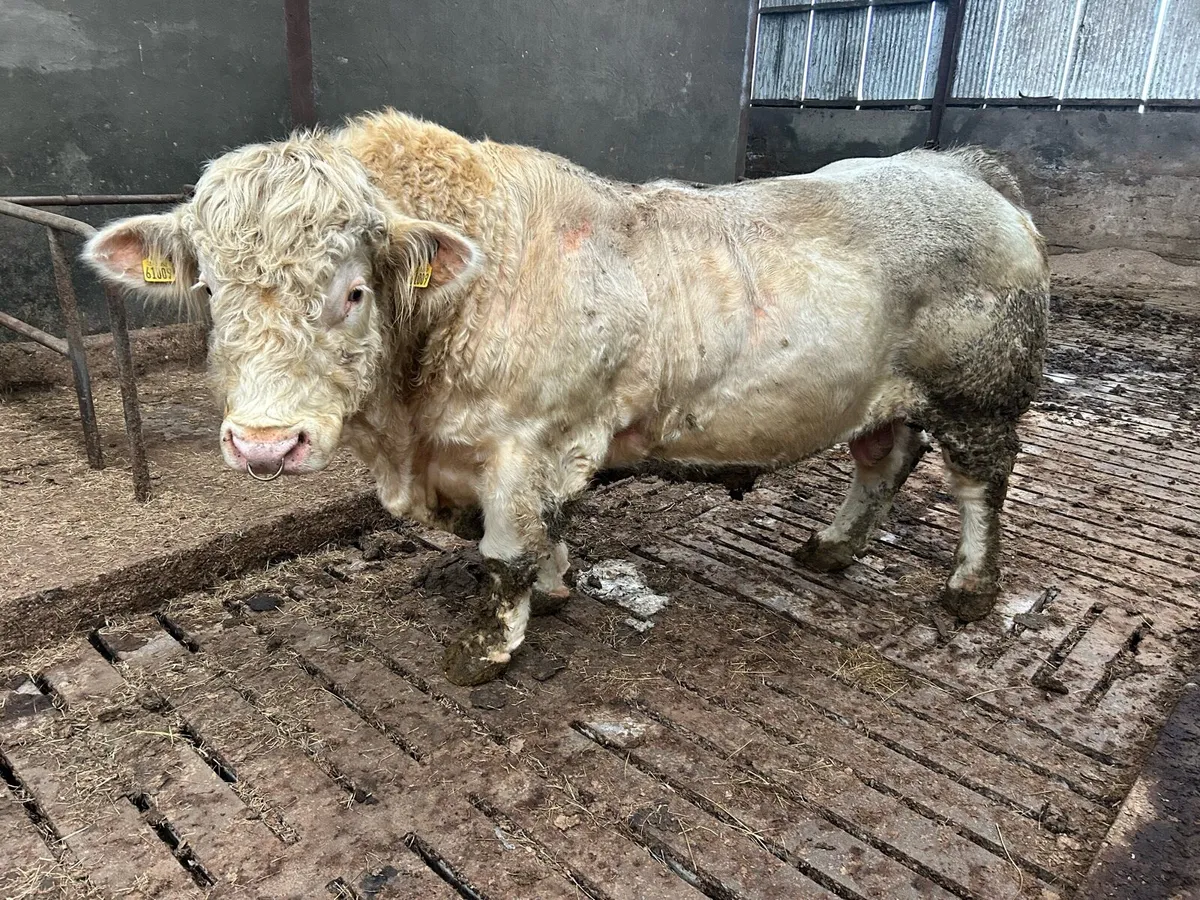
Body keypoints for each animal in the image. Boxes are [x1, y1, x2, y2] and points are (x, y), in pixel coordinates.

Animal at [84, 110, 1049, 686]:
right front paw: (553, 587)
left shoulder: (522, 440)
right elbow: (539, 533)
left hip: (983, 395)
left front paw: (487, 645)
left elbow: (504, 550)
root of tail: (959, 166)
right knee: (883, 459)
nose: (263, 444)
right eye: (210, 290)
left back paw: (969, 587)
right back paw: (834, 547)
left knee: (980, 488)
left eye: (354, 291)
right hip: (885, 395)